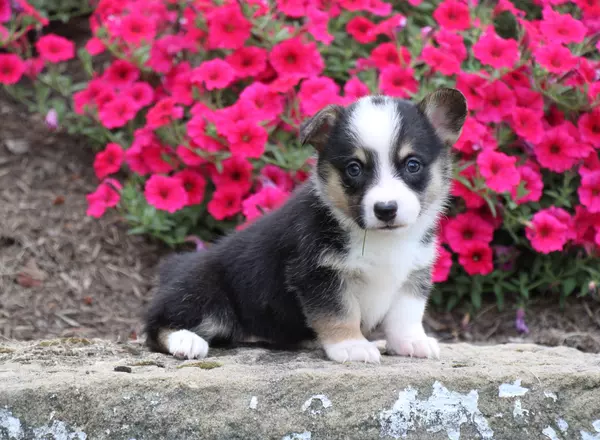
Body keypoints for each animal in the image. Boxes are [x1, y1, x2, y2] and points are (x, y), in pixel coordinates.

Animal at [143, 87, 466, 362]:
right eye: (354, 169)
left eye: (412, 165)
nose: (386, 209)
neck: (378, 239)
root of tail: (173, 267)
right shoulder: (317, 274)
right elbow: (340, 312)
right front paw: (352, 346)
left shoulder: (414, 272)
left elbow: (406, 314)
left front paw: (411, 343)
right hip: (206, 295)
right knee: (156, 325)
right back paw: (187, 341)